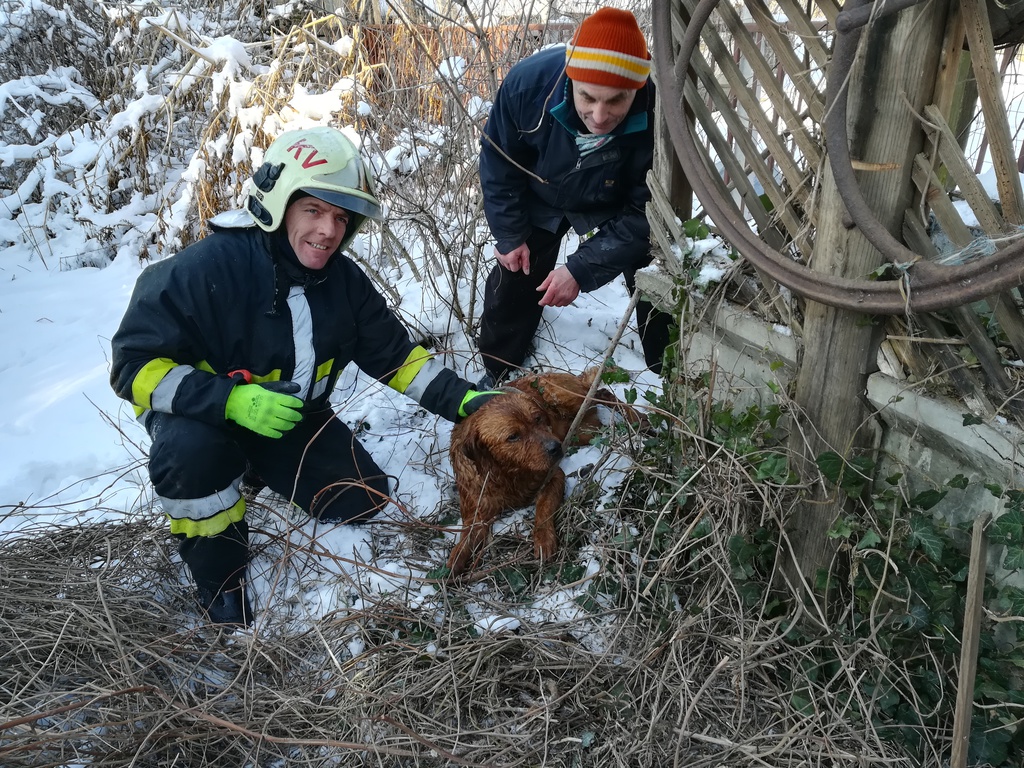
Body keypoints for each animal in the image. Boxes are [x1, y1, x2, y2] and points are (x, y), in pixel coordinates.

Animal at [446, 366, 638, 577]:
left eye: (537, 418)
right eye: (513, 436)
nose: (556, 448)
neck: (507, 471)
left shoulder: (554, 476)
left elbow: (543, 507)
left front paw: (543, 538)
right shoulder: (478, 513)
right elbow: (466, 537)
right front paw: (453, 563)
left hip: (563, 398)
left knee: (599, 394)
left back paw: (638, 420)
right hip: (584, 432)